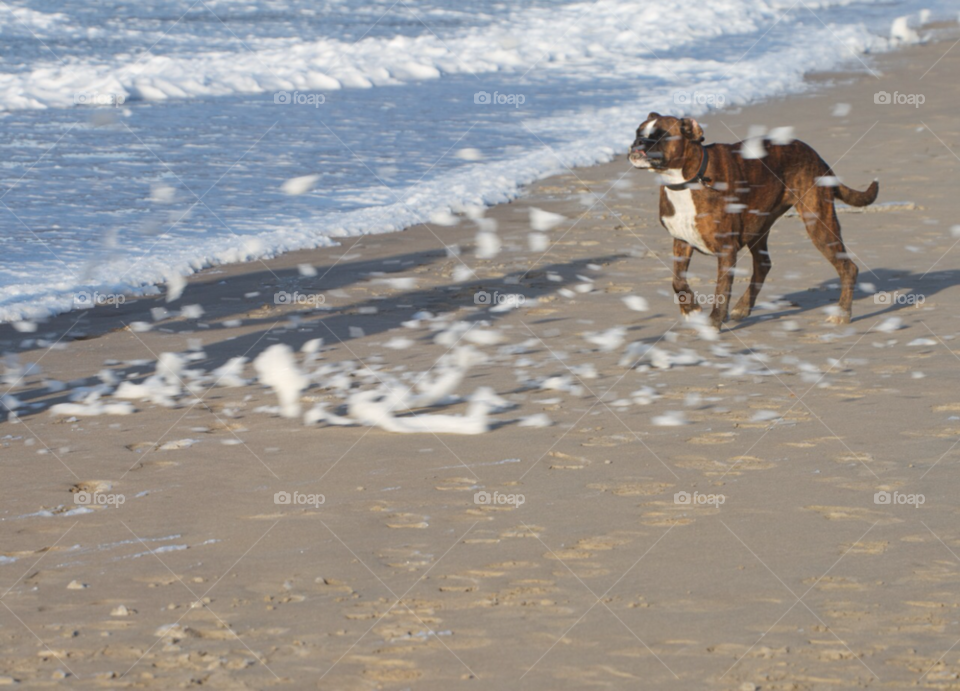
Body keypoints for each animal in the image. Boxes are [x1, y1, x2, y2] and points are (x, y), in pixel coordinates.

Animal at [632, 113, 876, 330]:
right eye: (638, 132)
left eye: (661, 136)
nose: (638, 143)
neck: (687, 180)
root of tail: (815, 154)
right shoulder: (681, 242)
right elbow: (677, 281)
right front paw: (691, 310)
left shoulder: (726, 248)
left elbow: (721, 290)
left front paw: (713, 323)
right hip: (759, 227)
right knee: (763, 265)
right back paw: (743, 307)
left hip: (818, 224)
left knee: (848, 268)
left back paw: (842, 313)